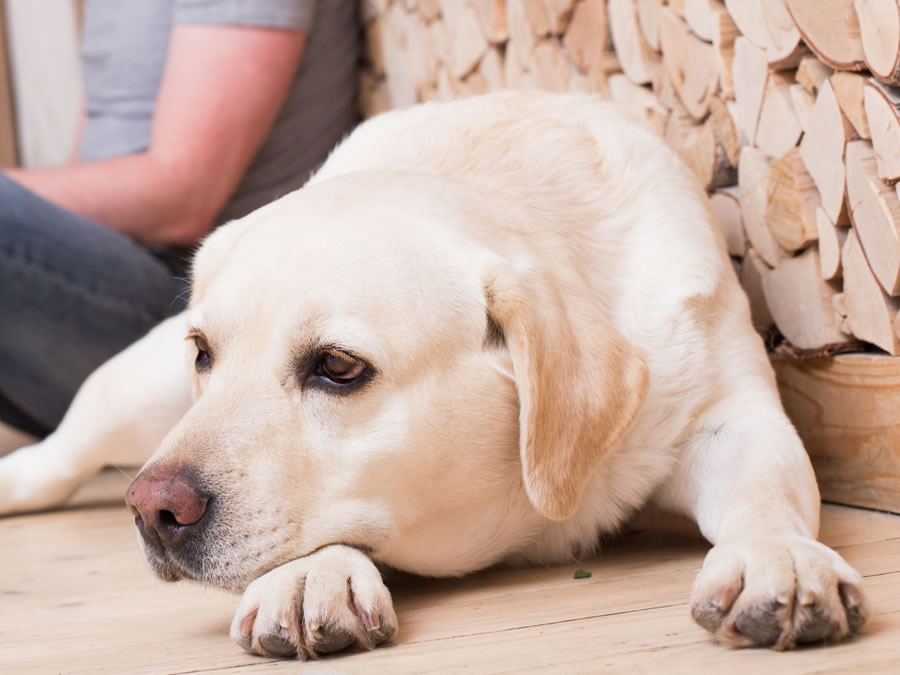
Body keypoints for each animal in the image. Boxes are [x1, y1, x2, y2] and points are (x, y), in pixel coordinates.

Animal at [1, 92, 872, 656]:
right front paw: (310, 576)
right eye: (205, 352)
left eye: (338, 367)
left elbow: (763, 491)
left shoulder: (735, 415)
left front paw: (778, 556)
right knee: (65, 450)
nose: (155, 509)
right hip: (138, 391)